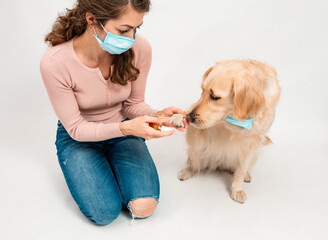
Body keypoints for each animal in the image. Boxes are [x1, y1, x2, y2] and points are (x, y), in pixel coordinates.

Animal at [170, 59, 280, 203]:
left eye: (214, 97)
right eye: (202, 91)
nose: (189, 118)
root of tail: (220, 163)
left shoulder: (251, 144)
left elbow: (241, 170)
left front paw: (237, 189)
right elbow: (192, 106)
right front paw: (179, 116)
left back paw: (245, 175)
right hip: (195, 148)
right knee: (194, 163)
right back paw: (187, 171)